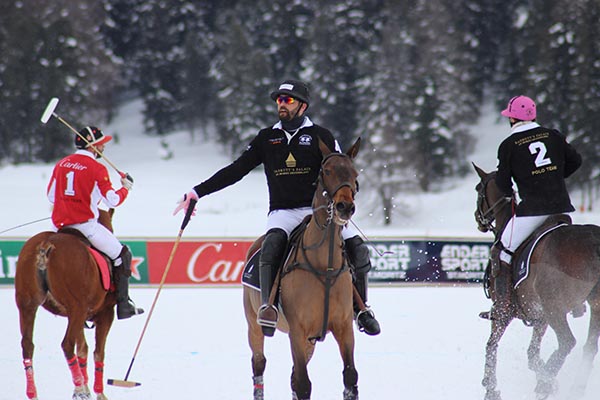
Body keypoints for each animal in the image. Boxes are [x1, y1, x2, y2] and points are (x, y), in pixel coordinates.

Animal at [15, 209, 118, 400]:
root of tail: (46, 245)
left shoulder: (79, 317)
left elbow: (83, 348)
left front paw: (85, 389)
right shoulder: (105, 313)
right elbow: (98, 352)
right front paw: (96, 392)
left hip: (27, 304)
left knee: (27, 344)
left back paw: (33, 393)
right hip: (77, 306)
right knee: (67, 344)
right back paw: (79, 388)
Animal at [243, 138, 361, 400]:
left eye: (355, 173)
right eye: (326, 171)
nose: (344, 207)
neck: (324, 264)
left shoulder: (344, 326)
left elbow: (350, 376)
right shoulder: (297, 330)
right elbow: (304, 384)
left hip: (310, 340)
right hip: (253, 322)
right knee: (259, 363)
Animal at [473, 163, 600, 400]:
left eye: (478, 189)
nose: (478, 218)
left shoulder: (503, 311)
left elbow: (491, 345)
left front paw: (491, 388)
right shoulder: (539, 315)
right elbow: (532, 355)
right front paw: (546, 378)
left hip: (554, 307)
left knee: (568, 341)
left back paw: (546, 385)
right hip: (593, 304)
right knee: (589, 347)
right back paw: (571, 388)